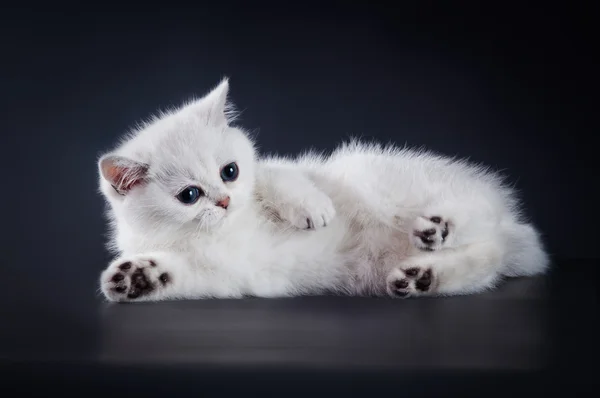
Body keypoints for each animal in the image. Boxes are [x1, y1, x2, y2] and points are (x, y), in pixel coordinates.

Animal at [97, 77, 548, 302]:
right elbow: (184, 274)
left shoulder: (285, 170)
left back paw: (437, 226)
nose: (224, 201)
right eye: (189, 196)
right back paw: (421, 275)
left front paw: (313, 210)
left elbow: (277, 174)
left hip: (384, 185)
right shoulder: (228, 276)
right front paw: (136, 278)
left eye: (230, 171)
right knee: (488, 257)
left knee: (481, 211)